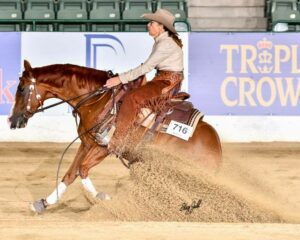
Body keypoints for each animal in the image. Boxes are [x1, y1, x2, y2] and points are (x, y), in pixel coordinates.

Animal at [9, 60, 221, 214]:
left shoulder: (104, 147)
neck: (97, 100)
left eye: (21, 88)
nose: (12, 120)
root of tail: (215, 146)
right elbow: (71, 174)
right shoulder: (87, 144)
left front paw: (103, 198)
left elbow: (83, 170)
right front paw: (43, 202)